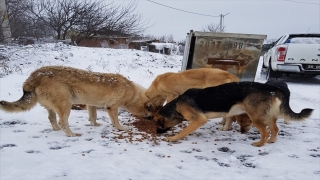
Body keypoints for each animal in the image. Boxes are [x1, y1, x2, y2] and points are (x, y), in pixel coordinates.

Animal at [0, 65, 155, 136]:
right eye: (151, 111)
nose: (152, 119)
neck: (132, 92)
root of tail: (34, 75)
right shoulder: (112, 107)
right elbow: (116, 121)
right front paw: (122, 128)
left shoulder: (91, 105)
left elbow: (93, 116)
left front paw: (95, 125)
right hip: (65, 105)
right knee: (63, 122)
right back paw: (71, 134)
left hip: (53, 107)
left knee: (52, 119)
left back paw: (57, 130)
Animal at [154, 81, 314, 146]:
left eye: (157, 123)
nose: (156, 133)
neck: (176, 106)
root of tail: (271, 88)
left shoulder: (199, 120)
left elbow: (183, 131)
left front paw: (173, 138)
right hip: (266, 116)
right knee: (275, 129)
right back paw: (271, 141)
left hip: (256, 118)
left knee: (265, 132)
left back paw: (260, 144)